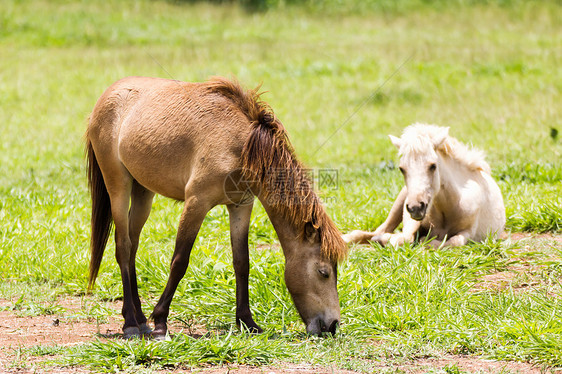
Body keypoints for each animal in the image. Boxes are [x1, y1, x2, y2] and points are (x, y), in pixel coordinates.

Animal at [86, 76, 346, 338]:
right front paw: (160, 321)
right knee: (123, 246)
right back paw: (130, 323)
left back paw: (140, 319)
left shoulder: (241, 206)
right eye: (324, 272)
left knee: (132, 246)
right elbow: (179, 261)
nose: (333, 325)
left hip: (143, 192)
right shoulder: (196, 202)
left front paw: (247, 322)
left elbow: (242, 263)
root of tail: (109, 93)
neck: (242, 145)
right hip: (118, 185)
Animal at [344, 123, 506, 248]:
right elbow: (405, 237)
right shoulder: (412, 218)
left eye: (433, 166)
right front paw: (386, 240)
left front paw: (424, 240)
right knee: (377, 230)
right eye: (402, 168)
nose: (416, 207)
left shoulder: (468, 232)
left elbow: (450, 242)